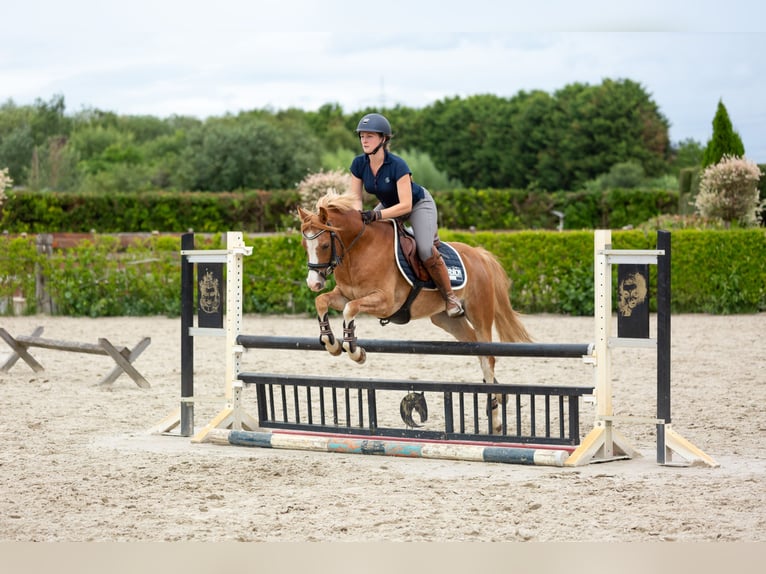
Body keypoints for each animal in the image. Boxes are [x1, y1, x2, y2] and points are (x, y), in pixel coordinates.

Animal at [300, 191, 536, 434]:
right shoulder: (343, 295)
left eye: (325, 245)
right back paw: (498, 397)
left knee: (488, 358)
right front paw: (331, 342)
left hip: (480, 314)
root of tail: (479, 255)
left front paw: (355, 351)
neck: (358, 250)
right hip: (447, 320)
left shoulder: (386, 302)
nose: (313, 283)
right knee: (476, 350)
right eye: (303, 245)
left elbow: (351, 309)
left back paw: (496, 422)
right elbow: (322, 301)